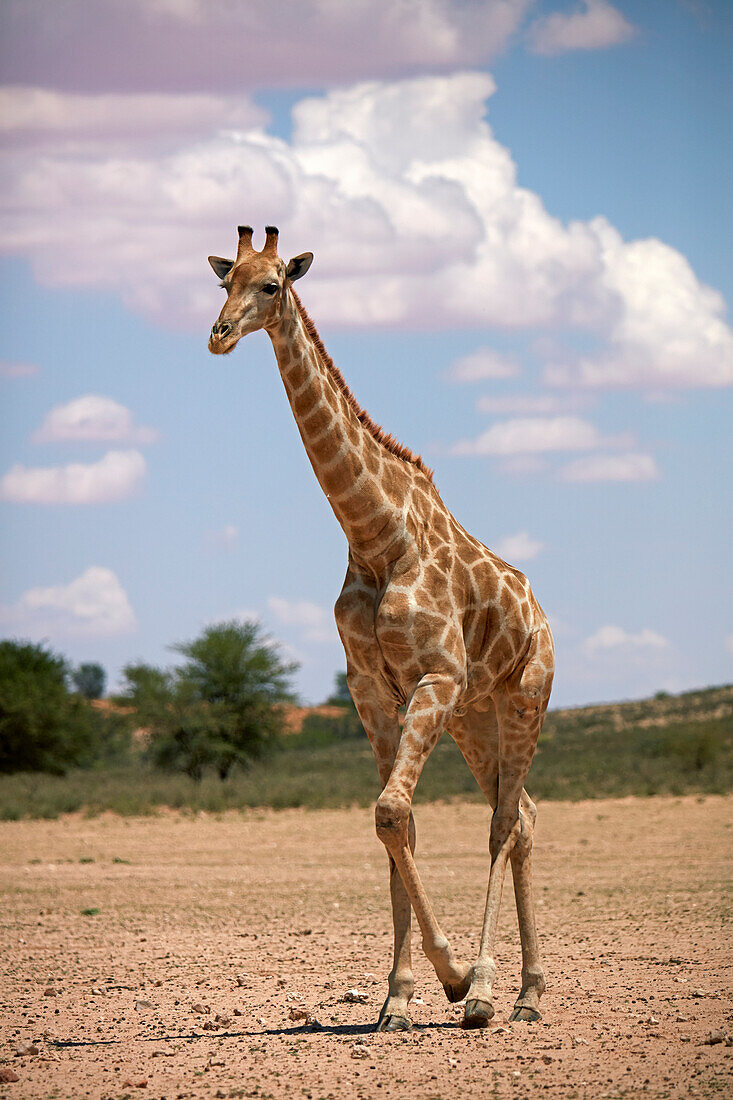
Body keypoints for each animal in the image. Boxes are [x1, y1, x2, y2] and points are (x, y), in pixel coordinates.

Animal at [208, 227, 550, 1034]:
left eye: (271, 285)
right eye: (222, 281)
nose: (220, 334)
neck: (374, 535)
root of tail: (540, 612)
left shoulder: (434, 675)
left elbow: (393, 810)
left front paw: (453, 977)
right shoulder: (371, 690)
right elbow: (397, 824)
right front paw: (397, 996)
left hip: (522, 697)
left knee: (503, 821)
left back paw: (489, 990)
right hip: (474, 716)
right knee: (521, 814)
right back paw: (527, 992)